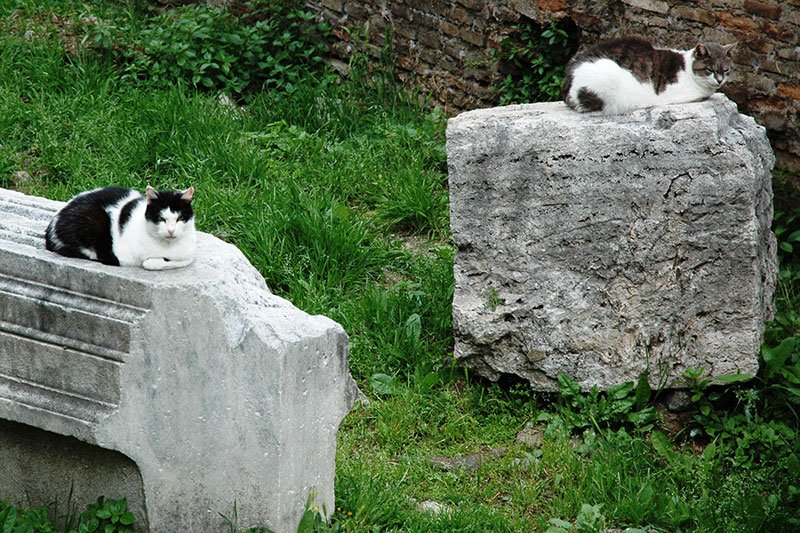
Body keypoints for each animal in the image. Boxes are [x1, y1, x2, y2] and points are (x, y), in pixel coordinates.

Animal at [46, 186, 198, 270]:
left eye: (180, 219)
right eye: (161, 219)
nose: (171, 230)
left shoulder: (189, 252)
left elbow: (185, 259)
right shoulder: (125, 256)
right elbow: (150, 263)